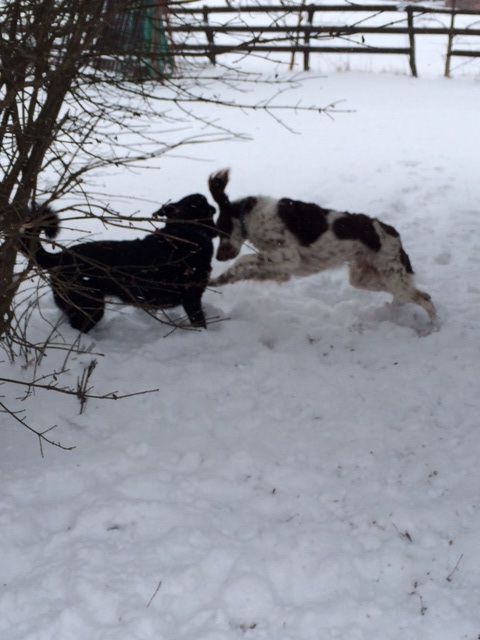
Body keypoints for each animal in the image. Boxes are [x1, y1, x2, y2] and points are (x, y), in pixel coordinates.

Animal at [208, 169, 436, 322]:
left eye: (219, 231)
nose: (218, 257)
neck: (249, 216)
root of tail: (393, 233)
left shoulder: (289, 255)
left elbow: (243, 259)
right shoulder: (282, 269)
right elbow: (244, 272)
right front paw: (217, 280)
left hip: (392, 277)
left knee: (425, 299)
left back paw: (432, 329)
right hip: (365, 278)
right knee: (416, 295)